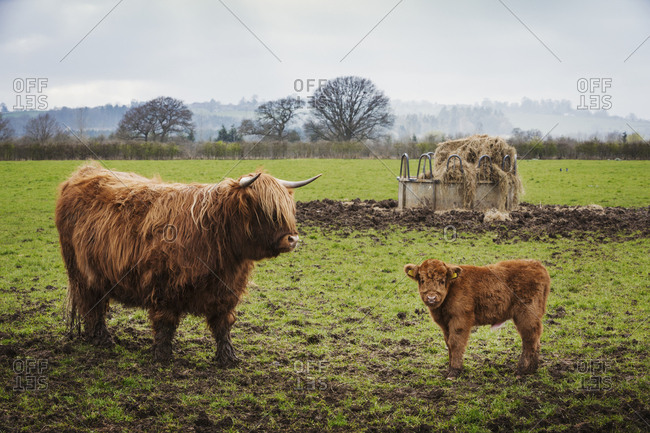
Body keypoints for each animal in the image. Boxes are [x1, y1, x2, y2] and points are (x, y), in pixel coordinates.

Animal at [55, 163, 320, 366]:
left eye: (288, 208)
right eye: (265, 211)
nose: (292, 239)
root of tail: (83, 173)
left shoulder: (226, 290)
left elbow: (223, 325)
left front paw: (228, 358)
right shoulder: (164, 286)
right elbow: (166, 323)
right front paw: (162, 357)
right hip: (83, 275)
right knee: (93, 306)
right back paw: (101, 339)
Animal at [404, 259, 550, 378]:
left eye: (442, 281)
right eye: (422, 280)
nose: (431, 298)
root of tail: (537, 264)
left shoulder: (460, 319)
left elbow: (456, 343)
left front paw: (454, 371)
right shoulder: (445, 324)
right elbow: (448, 343)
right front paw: (450, 367)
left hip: (527, 314)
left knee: (529, 340)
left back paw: (521, 370)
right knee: (536, 340)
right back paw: (532, 369)